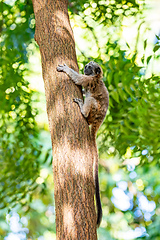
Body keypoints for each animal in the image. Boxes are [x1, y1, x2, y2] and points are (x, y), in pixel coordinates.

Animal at [56, 61, 109, 228]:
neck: (97, 77)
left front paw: (65, 69)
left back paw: (83, 110)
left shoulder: (89, 80)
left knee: (91, 101)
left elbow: (78, 79)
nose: (85, 66)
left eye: (90, 67)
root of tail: (97, 123)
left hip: (95, 111)